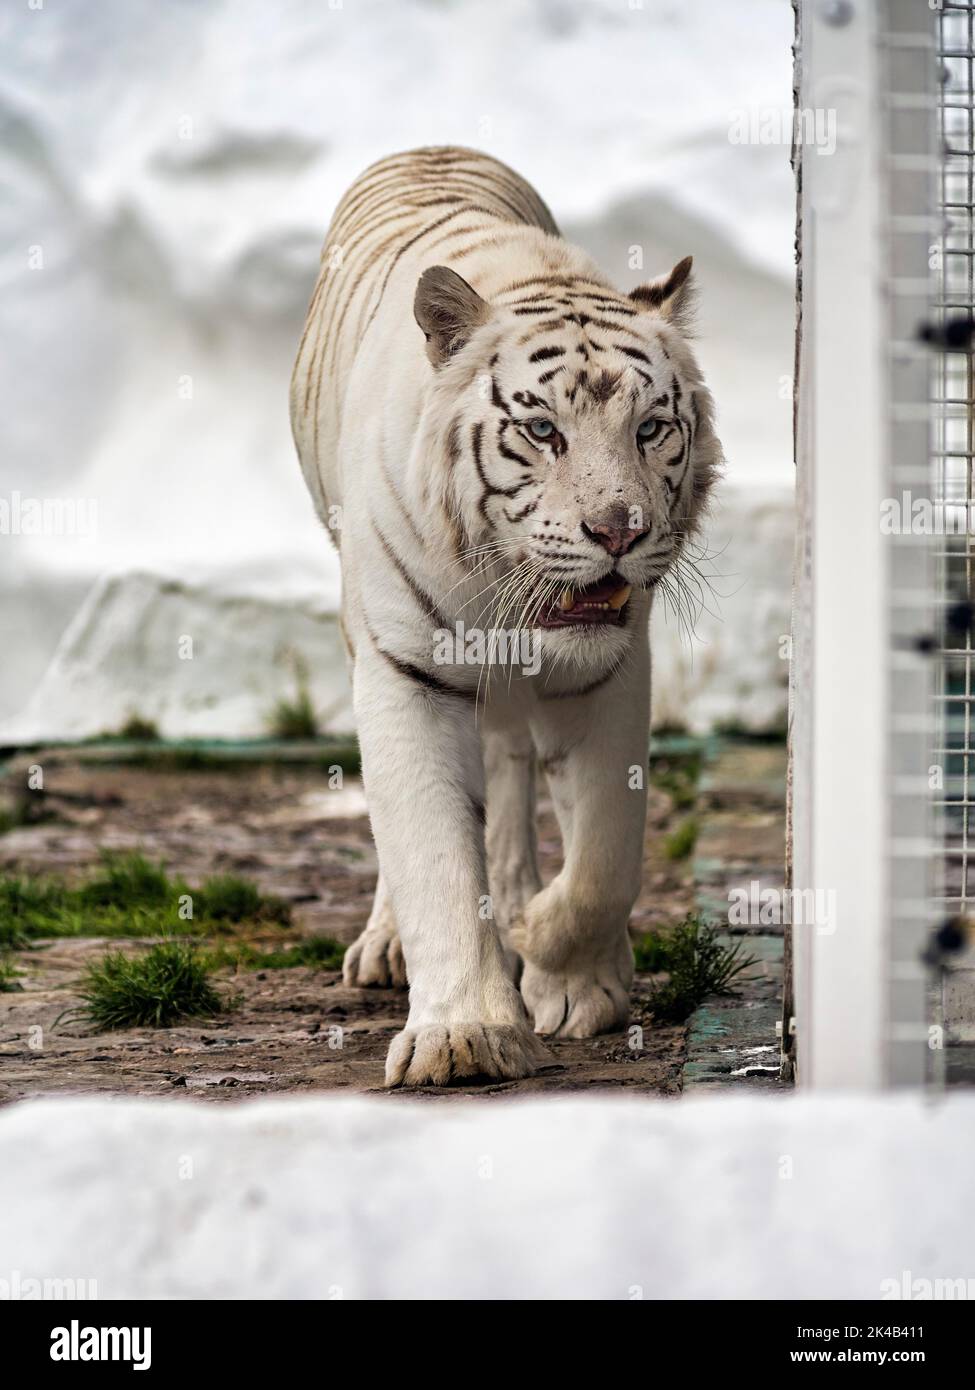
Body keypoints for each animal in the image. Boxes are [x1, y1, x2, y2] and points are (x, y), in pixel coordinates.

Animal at [289, 149, 723, 1084]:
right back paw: (390, 946)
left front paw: (561, 965)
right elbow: (432, 856)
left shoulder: (606, 672)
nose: (617, 530)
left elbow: (604, 858)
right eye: (541, 431)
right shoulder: (406, 671)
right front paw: (463, 1036)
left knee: (516, 771)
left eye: (651, 428)